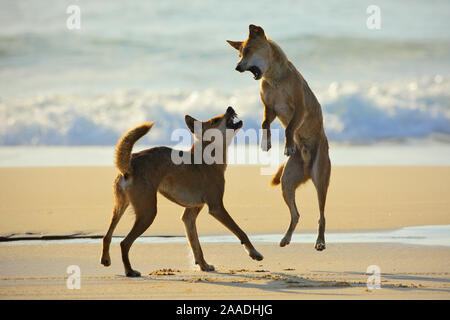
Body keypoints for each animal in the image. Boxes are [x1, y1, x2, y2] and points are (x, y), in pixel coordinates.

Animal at [101, 106, 264, 276]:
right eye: (215, 120)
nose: (230, 108)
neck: (207, 158)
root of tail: (129, 165)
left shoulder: (190, 215)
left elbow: (196, 245)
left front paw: (204, 265)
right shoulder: (217, 207)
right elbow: (240, 231)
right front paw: (254, 253)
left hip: (120, 207)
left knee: (107, 236)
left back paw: (106, 259)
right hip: (148, 213)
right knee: (124, 243)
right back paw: (130, 271)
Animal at [229, 24, 330, 250]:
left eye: (248, 51)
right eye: (239, 54)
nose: (237, 67)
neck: (274, 79)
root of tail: (308, 170)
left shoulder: (299, 108)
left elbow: (289, 128)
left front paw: (288, 145)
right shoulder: (270, 108)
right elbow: (264, 123)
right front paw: (265, 142)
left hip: (320, 176)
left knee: (321, 214)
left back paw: (320, 241)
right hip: (287, 181)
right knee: (296, 214)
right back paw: (286, 238)